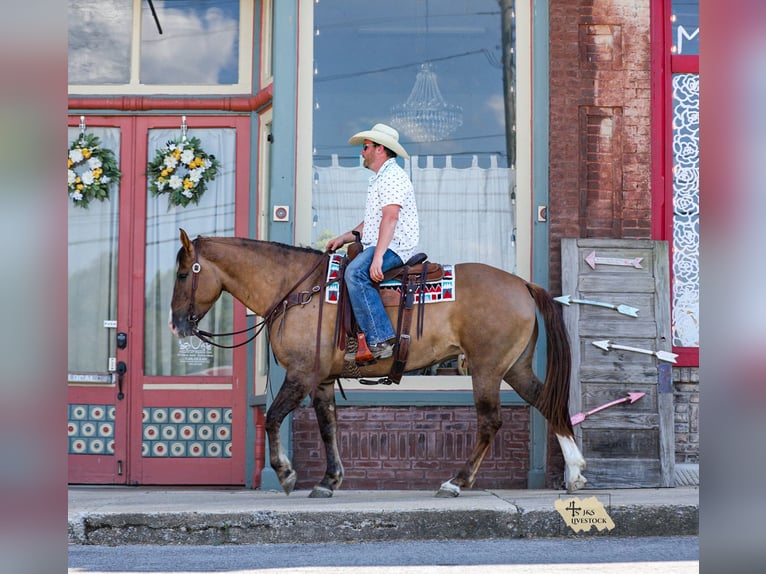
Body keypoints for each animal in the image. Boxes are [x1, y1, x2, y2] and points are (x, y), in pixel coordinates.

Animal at [169, 229, 587, 498]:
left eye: (182, 273)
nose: (175, 325)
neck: (297, 290)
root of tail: (522, 285)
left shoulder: (300, 375)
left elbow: (272, 417)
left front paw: (286, 474)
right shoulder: (321, 379)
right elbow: (328, 427)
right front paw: (329, 480)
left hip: (486, 369)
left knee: (490, 422)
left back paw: (456, 482)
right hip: (515, 367)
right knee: (548, 403)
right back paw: (575, 473)